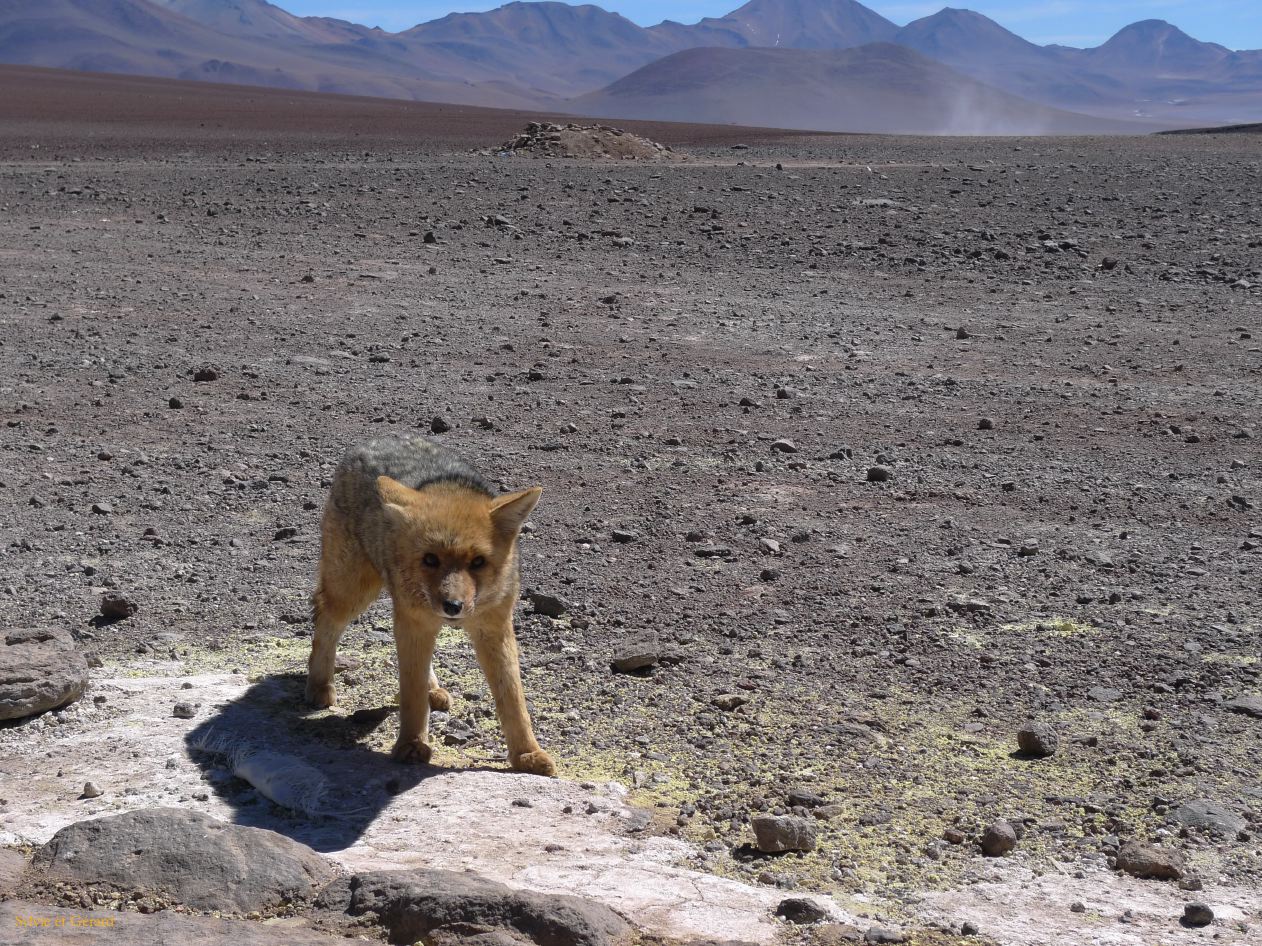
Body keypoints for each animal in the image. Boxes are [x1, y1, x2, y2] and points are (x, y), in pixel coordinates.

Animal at [304, 434, 555, 776]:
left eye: (478, 562)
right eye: (430, 559)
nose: (453, 606)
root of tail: (376, 438)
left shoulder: (493, 626)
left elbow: (513, 698)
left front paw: (527, 754)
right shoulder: (415, 621)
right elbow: (411, 691)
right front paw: (411, 745)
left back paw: (432, 689)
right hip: (353, 593)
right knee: (325, 622)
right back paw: (319, 685)